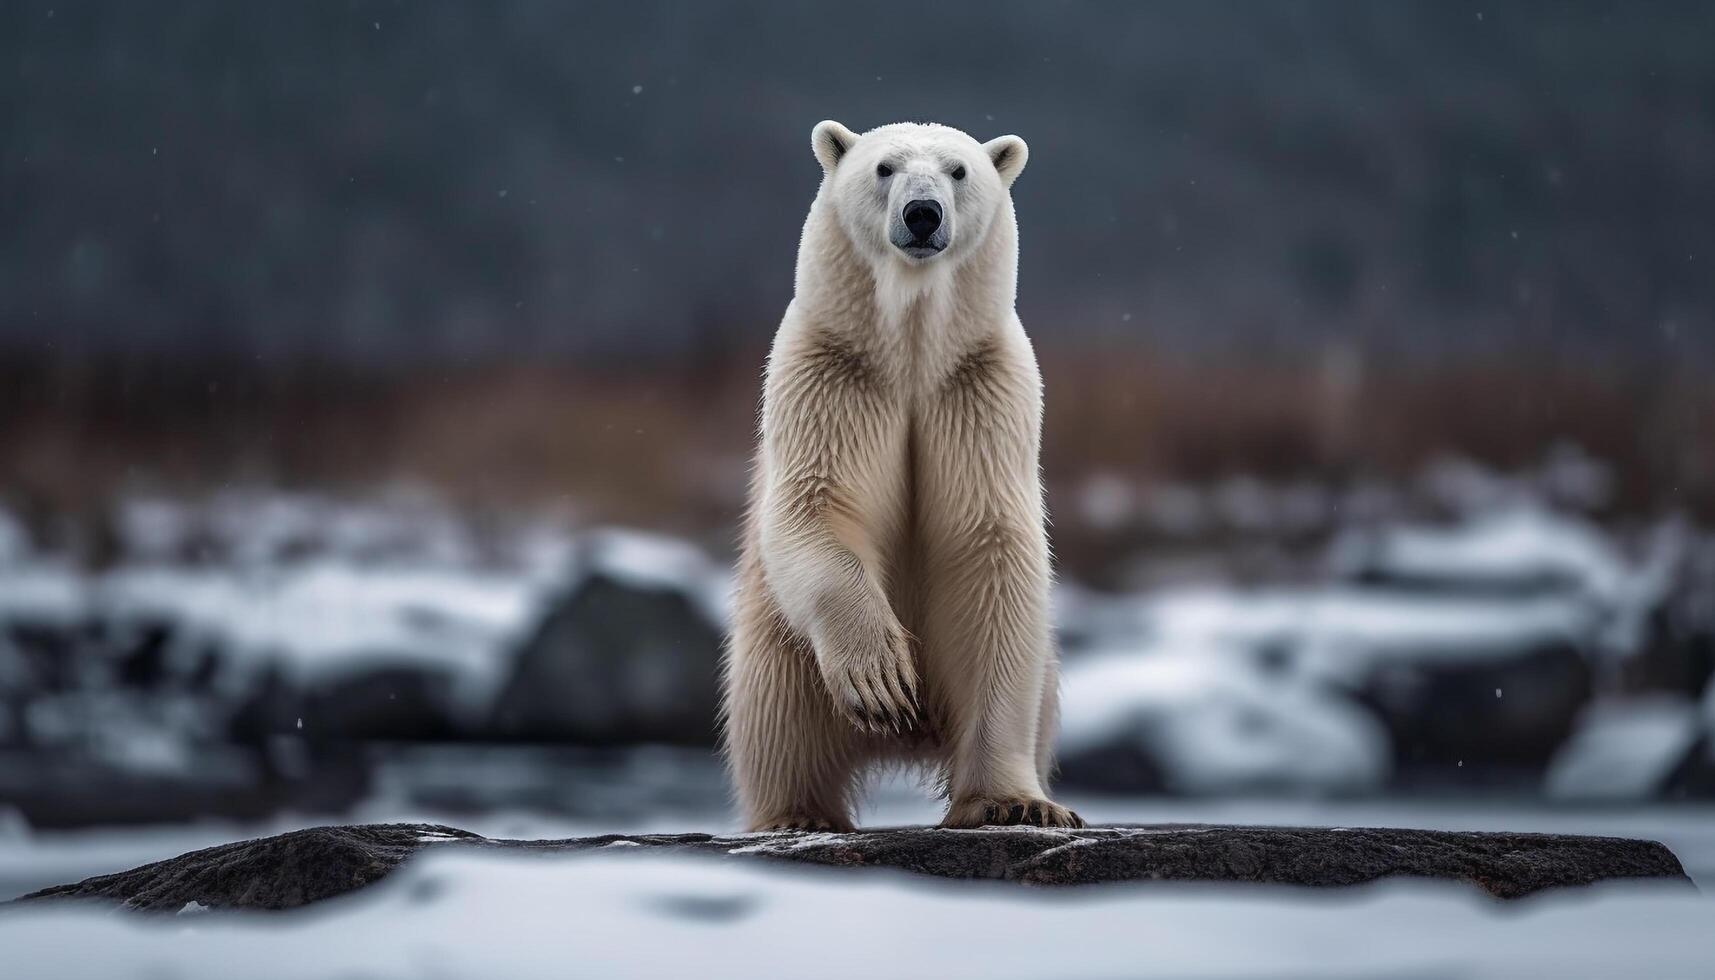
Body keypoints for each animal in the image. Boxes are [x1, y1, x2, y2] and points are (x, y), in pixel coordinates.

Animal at [716, 119, 1077, 830]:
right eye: (884, 168)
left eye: (958, 170)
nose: (922, 213)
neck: (909, 355)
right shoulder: (832, 376)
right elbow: (814, 505)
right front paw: (882, 679)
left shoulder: (981, 389)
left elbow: (990, 550)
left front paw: (1013, 803)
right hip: (777, 642)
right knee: (775, 711)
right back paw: (797, 812)